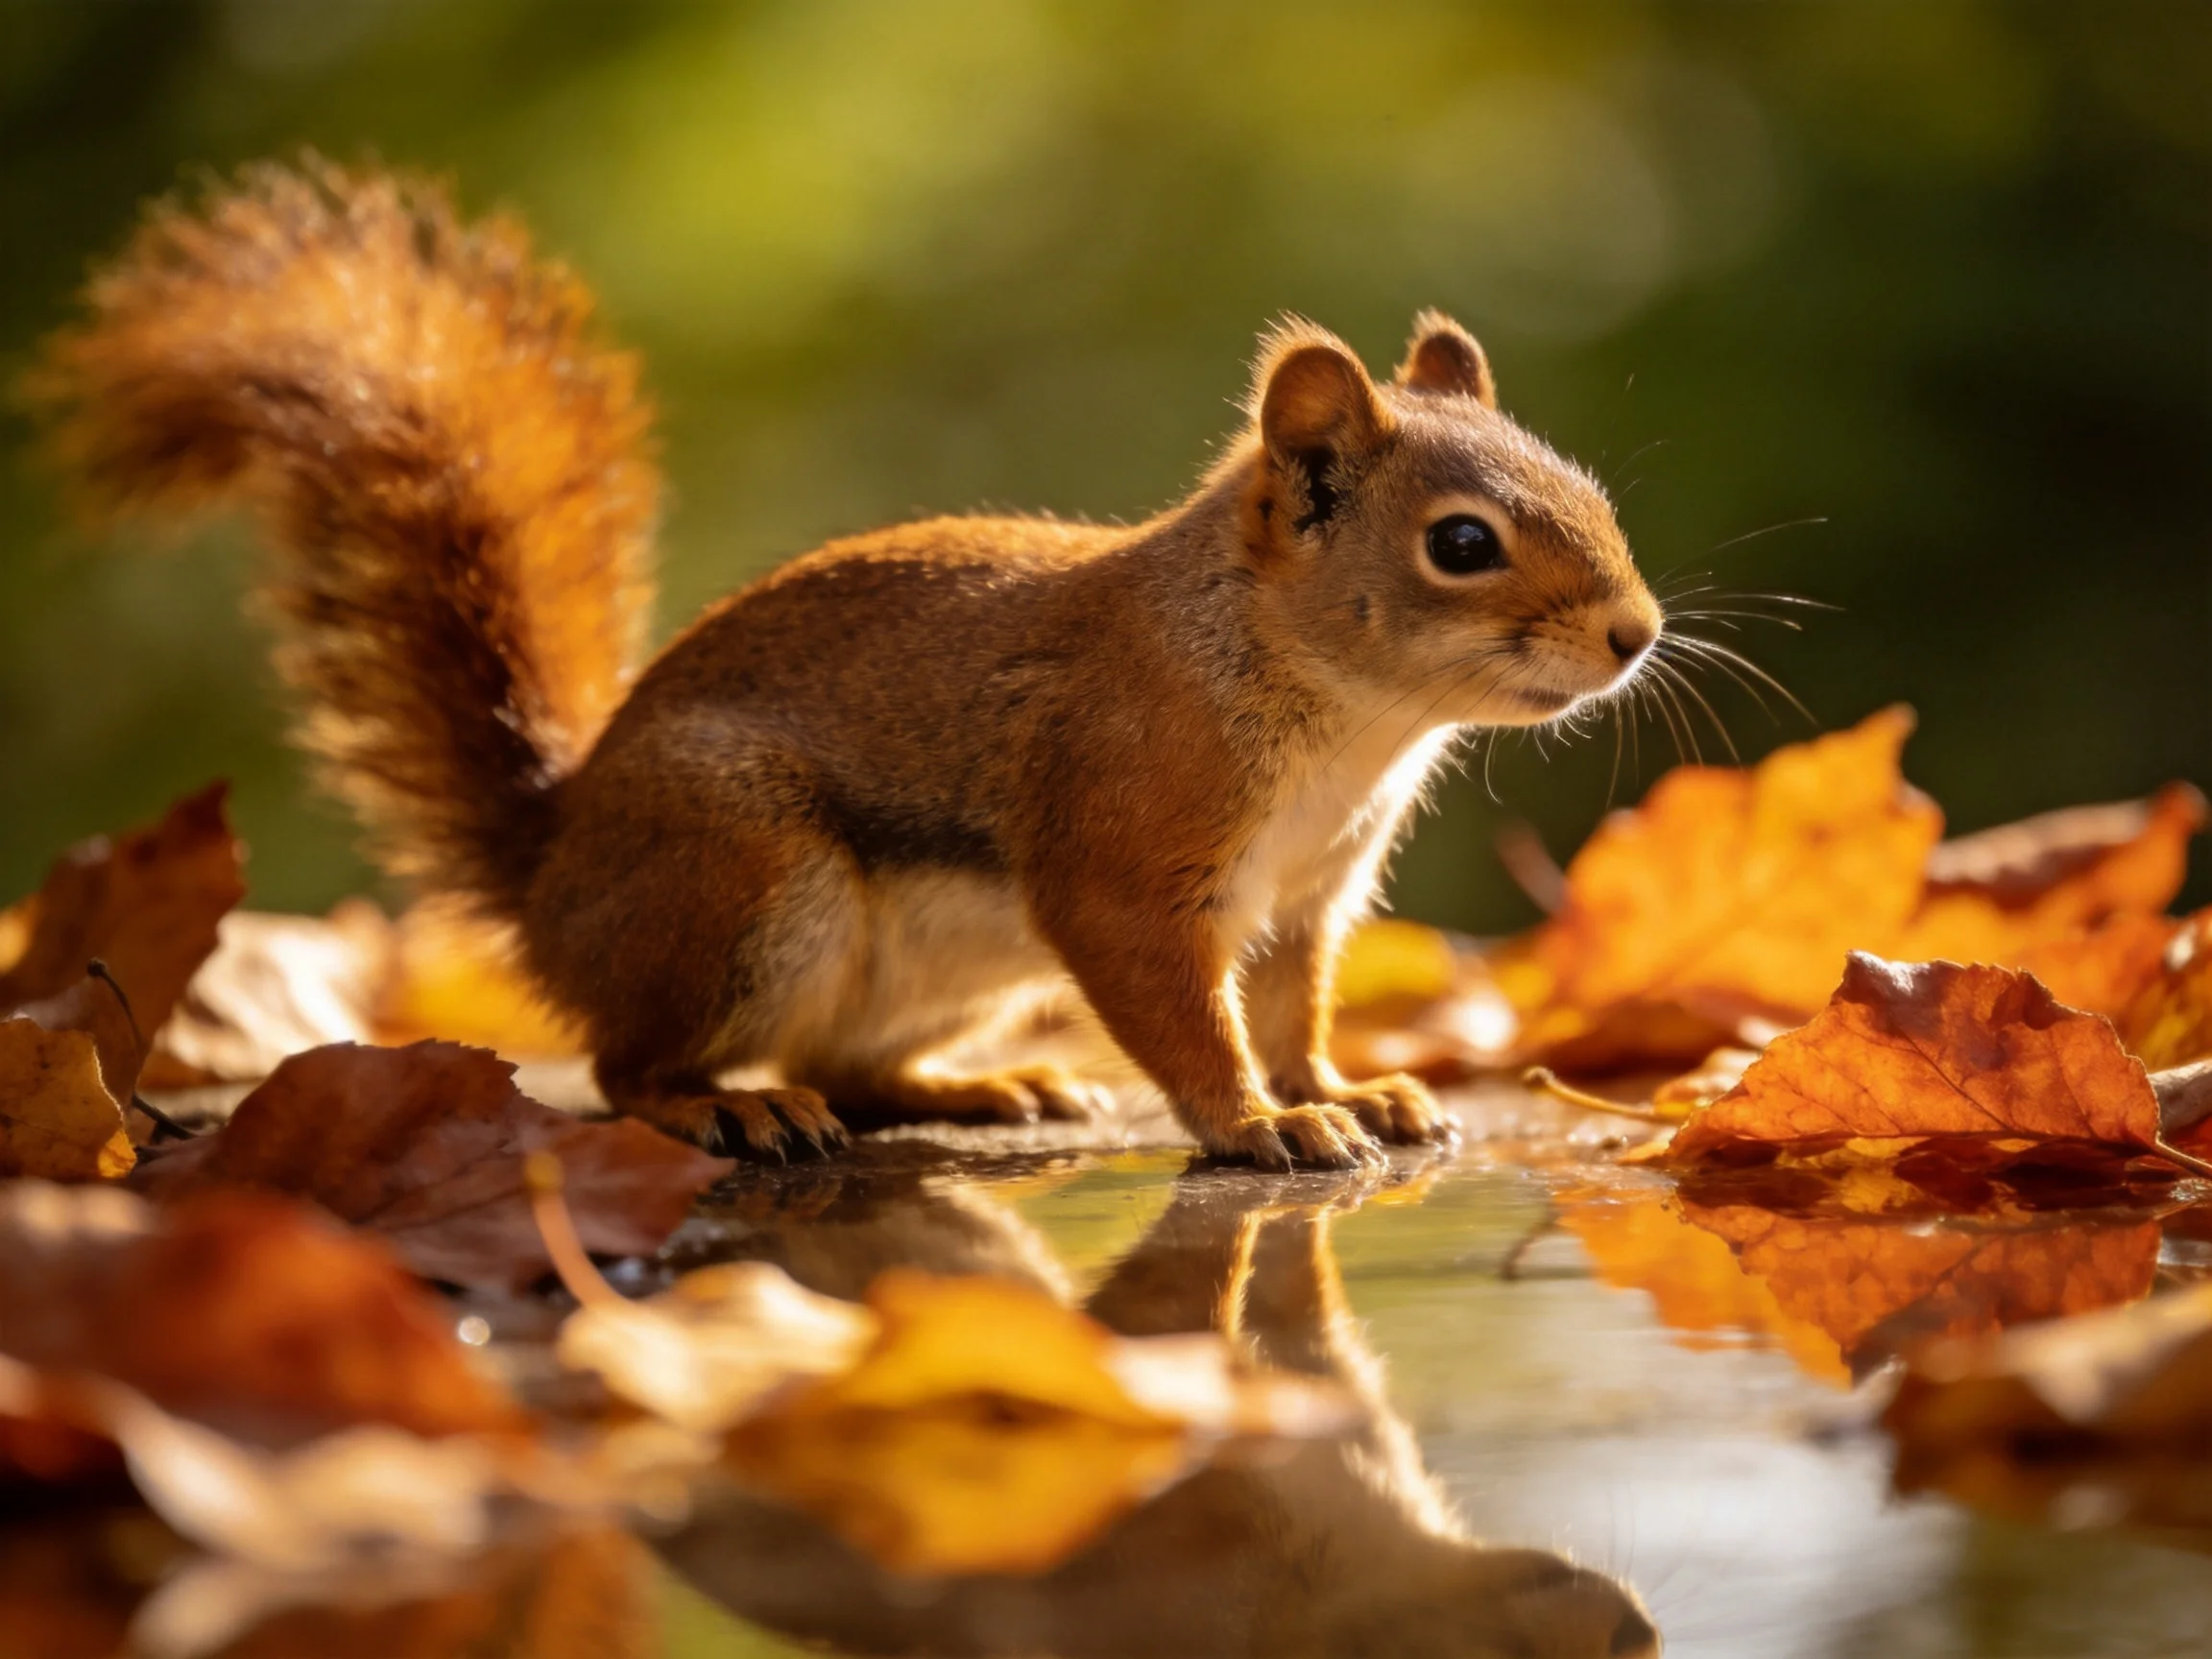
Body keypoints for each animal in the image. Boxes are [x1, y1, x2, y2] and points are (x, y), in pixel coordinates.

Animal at [30, 158, 1662, 1170]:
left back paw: (984, 1087)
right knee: (628, 1065)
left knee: (862, 1068)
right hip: (744, 880)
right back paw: (730, 1113)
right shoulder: (1126, 850)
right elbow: (1187, 1014)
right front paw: (1257, 1123)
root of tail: (553, 876)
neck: (1336, 715)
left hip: (944, 966)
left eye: (1588, 483)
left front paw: (1345, 1094)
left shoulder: (1310, 895)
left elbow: (1289, 1009)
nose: (1635, 635)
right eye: (1462, 544)